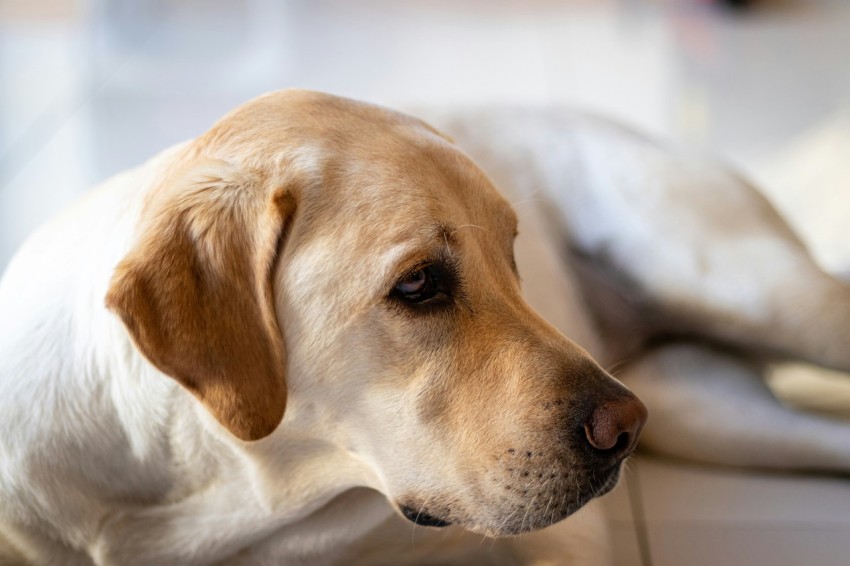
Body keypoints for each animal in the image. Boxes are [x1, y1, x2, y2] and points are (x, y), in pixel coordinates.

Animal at [0, 91, 840, 564]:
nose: (624, 427)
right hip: (707, 409)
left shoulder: (563, 540)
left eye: (512, 255)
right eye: (418, 284)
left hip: (758, 295)